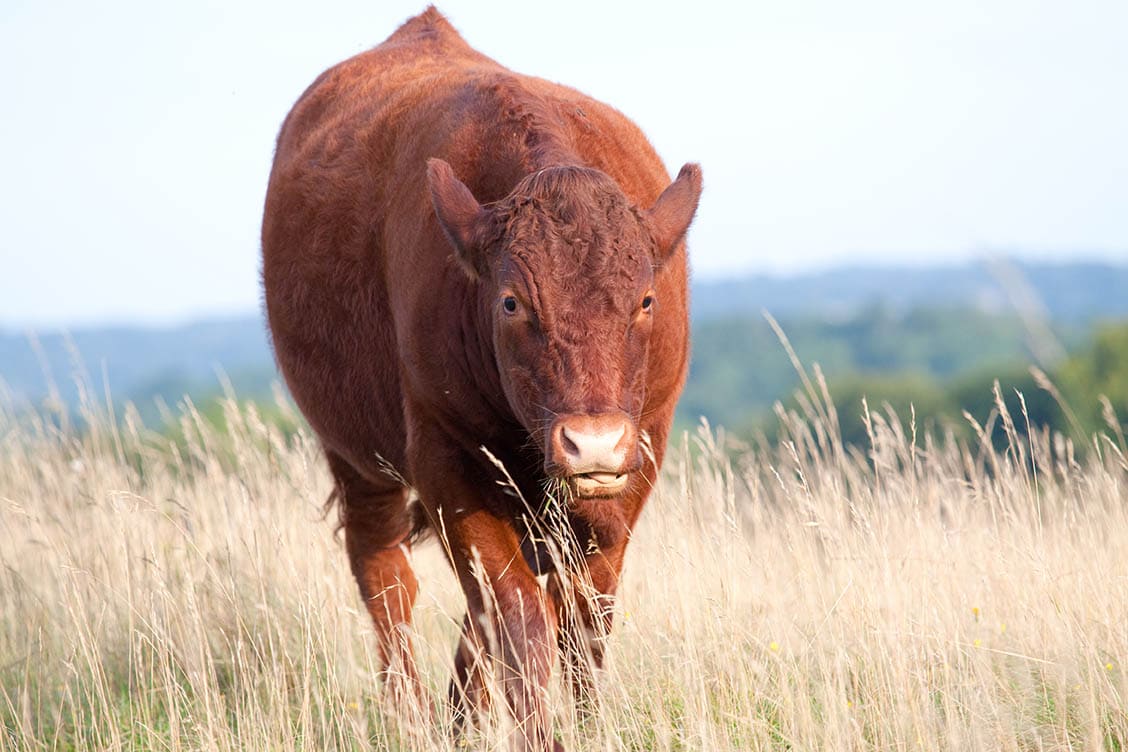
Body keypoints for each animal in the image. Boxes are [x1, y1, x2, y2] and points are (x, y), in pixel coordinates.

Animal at [260, 7, 699, 752]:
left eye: (646, 299)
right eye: (512, 302)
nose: (592, 443)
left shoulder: (636, 463)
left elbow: (582, 616)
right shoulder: (449, 465)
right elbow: (515, 612)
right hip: (356, 456)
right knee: (386, 577)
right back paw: (409, 717)